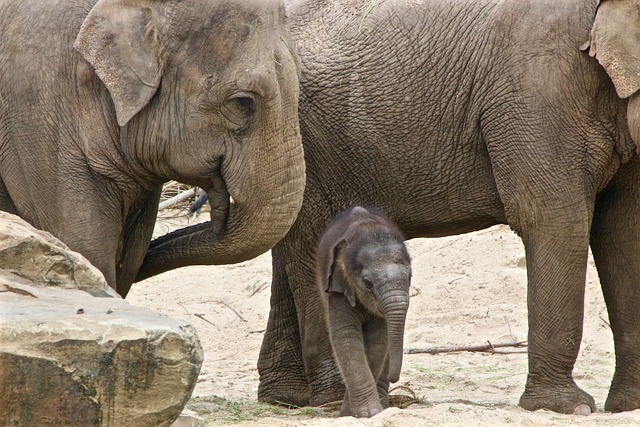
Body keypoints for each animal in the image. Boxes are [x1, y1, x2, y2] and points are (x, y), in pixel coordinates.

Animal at [314, 206, 410, 420]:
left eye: (410, 277)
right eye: (367, 283)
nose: (395, 377)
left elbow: (378, 340)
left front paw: (358, 412)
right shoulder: (337, 289)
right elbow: (346, 336)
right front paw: (365, 413)